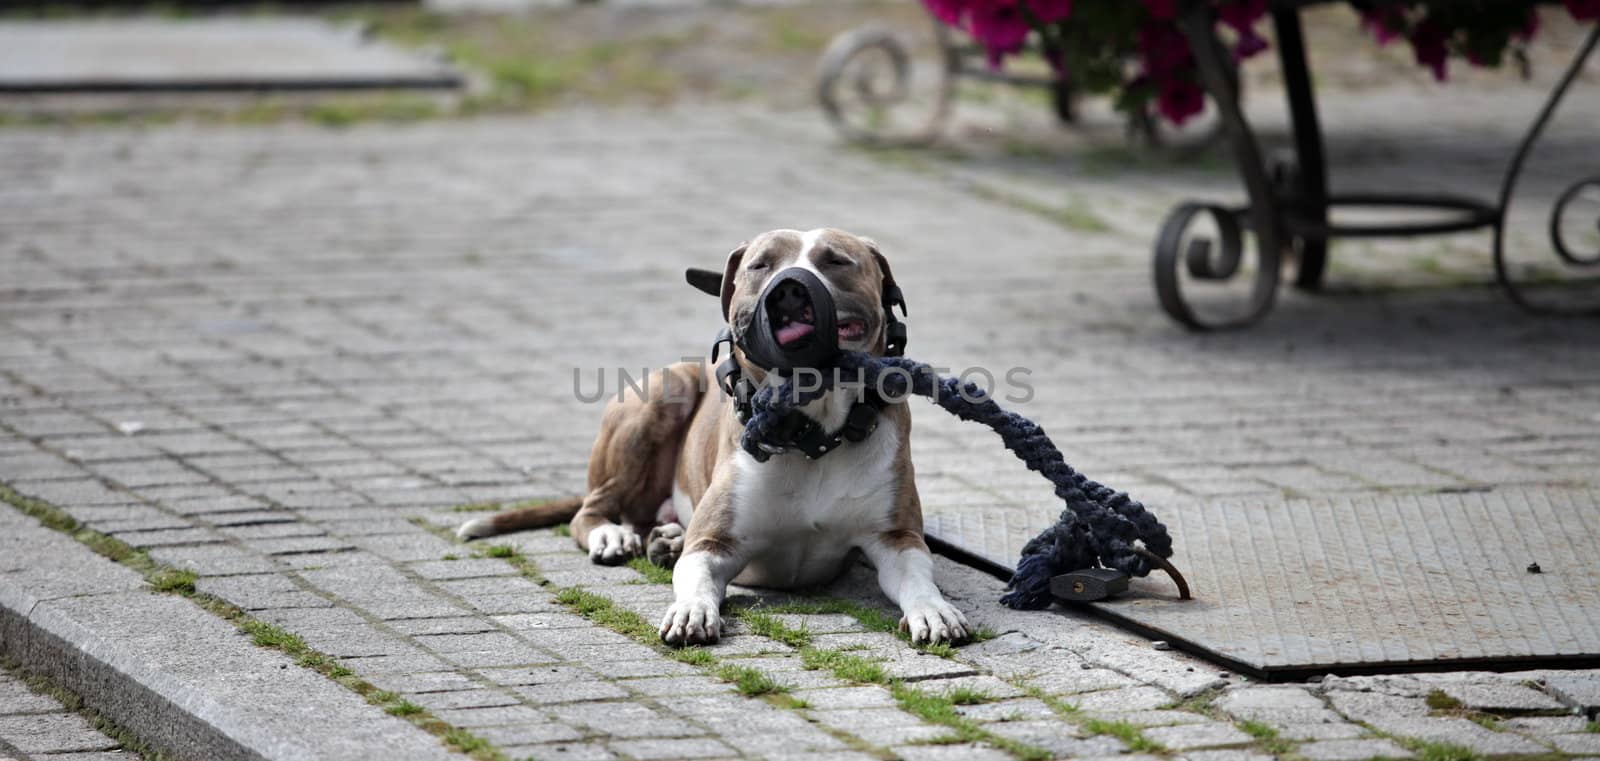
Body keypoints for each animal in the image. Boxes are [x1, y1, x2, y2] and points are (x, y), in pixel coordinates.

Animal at [457, 228, 966, 645]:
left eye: (837, 260)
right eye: (761, 265)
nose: (789, 290)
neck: (812, 436)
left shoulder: (897, 538)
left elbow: (919, 578)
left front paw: (934, 611)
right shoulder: (713, 544)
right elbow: (698, 577)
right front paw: (691, 610)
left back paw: (665, 540)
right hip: (665, 393)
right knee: (591, 510)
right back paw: (614, 535)